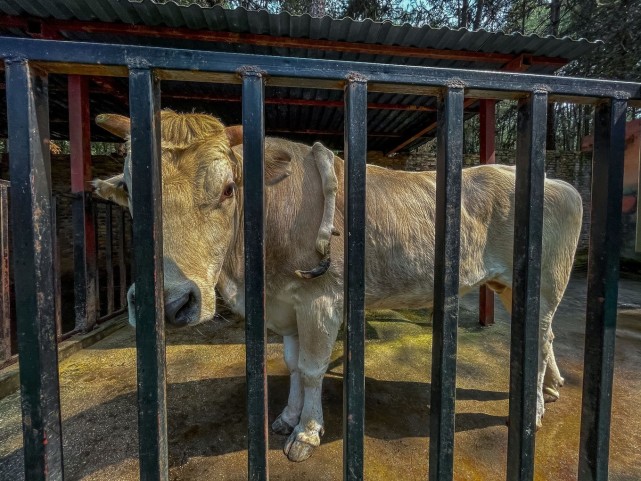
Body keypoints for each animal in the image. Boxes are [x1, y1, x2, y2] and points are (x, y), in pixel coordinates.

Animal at [94, 109, 580, 462]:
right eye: (130, 190)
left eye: (229, 188)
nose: (171, 302)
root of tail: (560, 182)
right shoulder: (285, 305)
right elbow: (292, 365)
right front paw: (287, 416)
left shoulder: (319, 301)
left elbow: (311, 368)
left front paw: (307, 432)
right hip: (508, 286)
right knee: (546, 337)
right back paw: (553, 387)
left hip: (544, 284)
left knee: (539, 340)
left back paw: (534, 409)